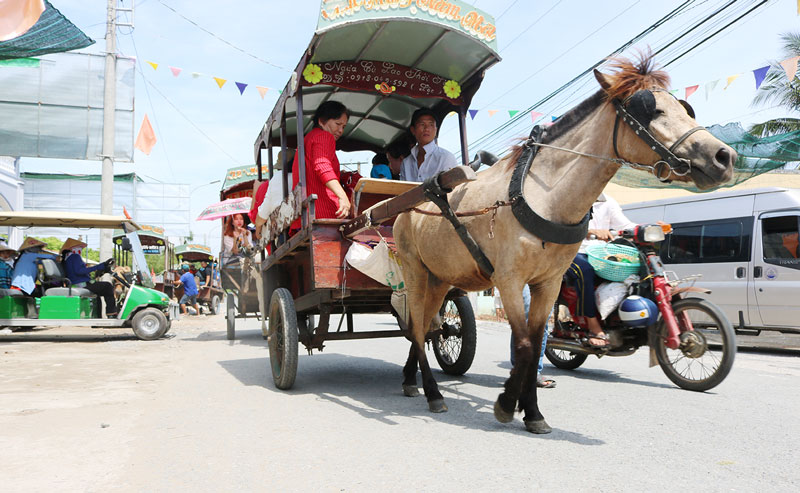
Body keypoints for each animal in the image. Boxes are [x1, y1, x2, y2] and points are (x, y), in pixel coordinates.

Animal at [394, 52, 736, 432]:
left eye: (685, 108)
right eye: (651, 109)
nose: (723, 157)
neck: (541, 196)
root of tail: (409, 201)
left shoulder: (549, 282)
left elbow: (537, 342)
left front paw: (532, 412)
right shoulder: (508, 280)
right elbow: (525, 345)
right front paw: (507, 404)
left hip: (440, 278)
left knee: (425, 327)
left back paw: (410, 379)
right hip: (415, 271)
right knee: (418, 328)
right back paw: (432, 392)